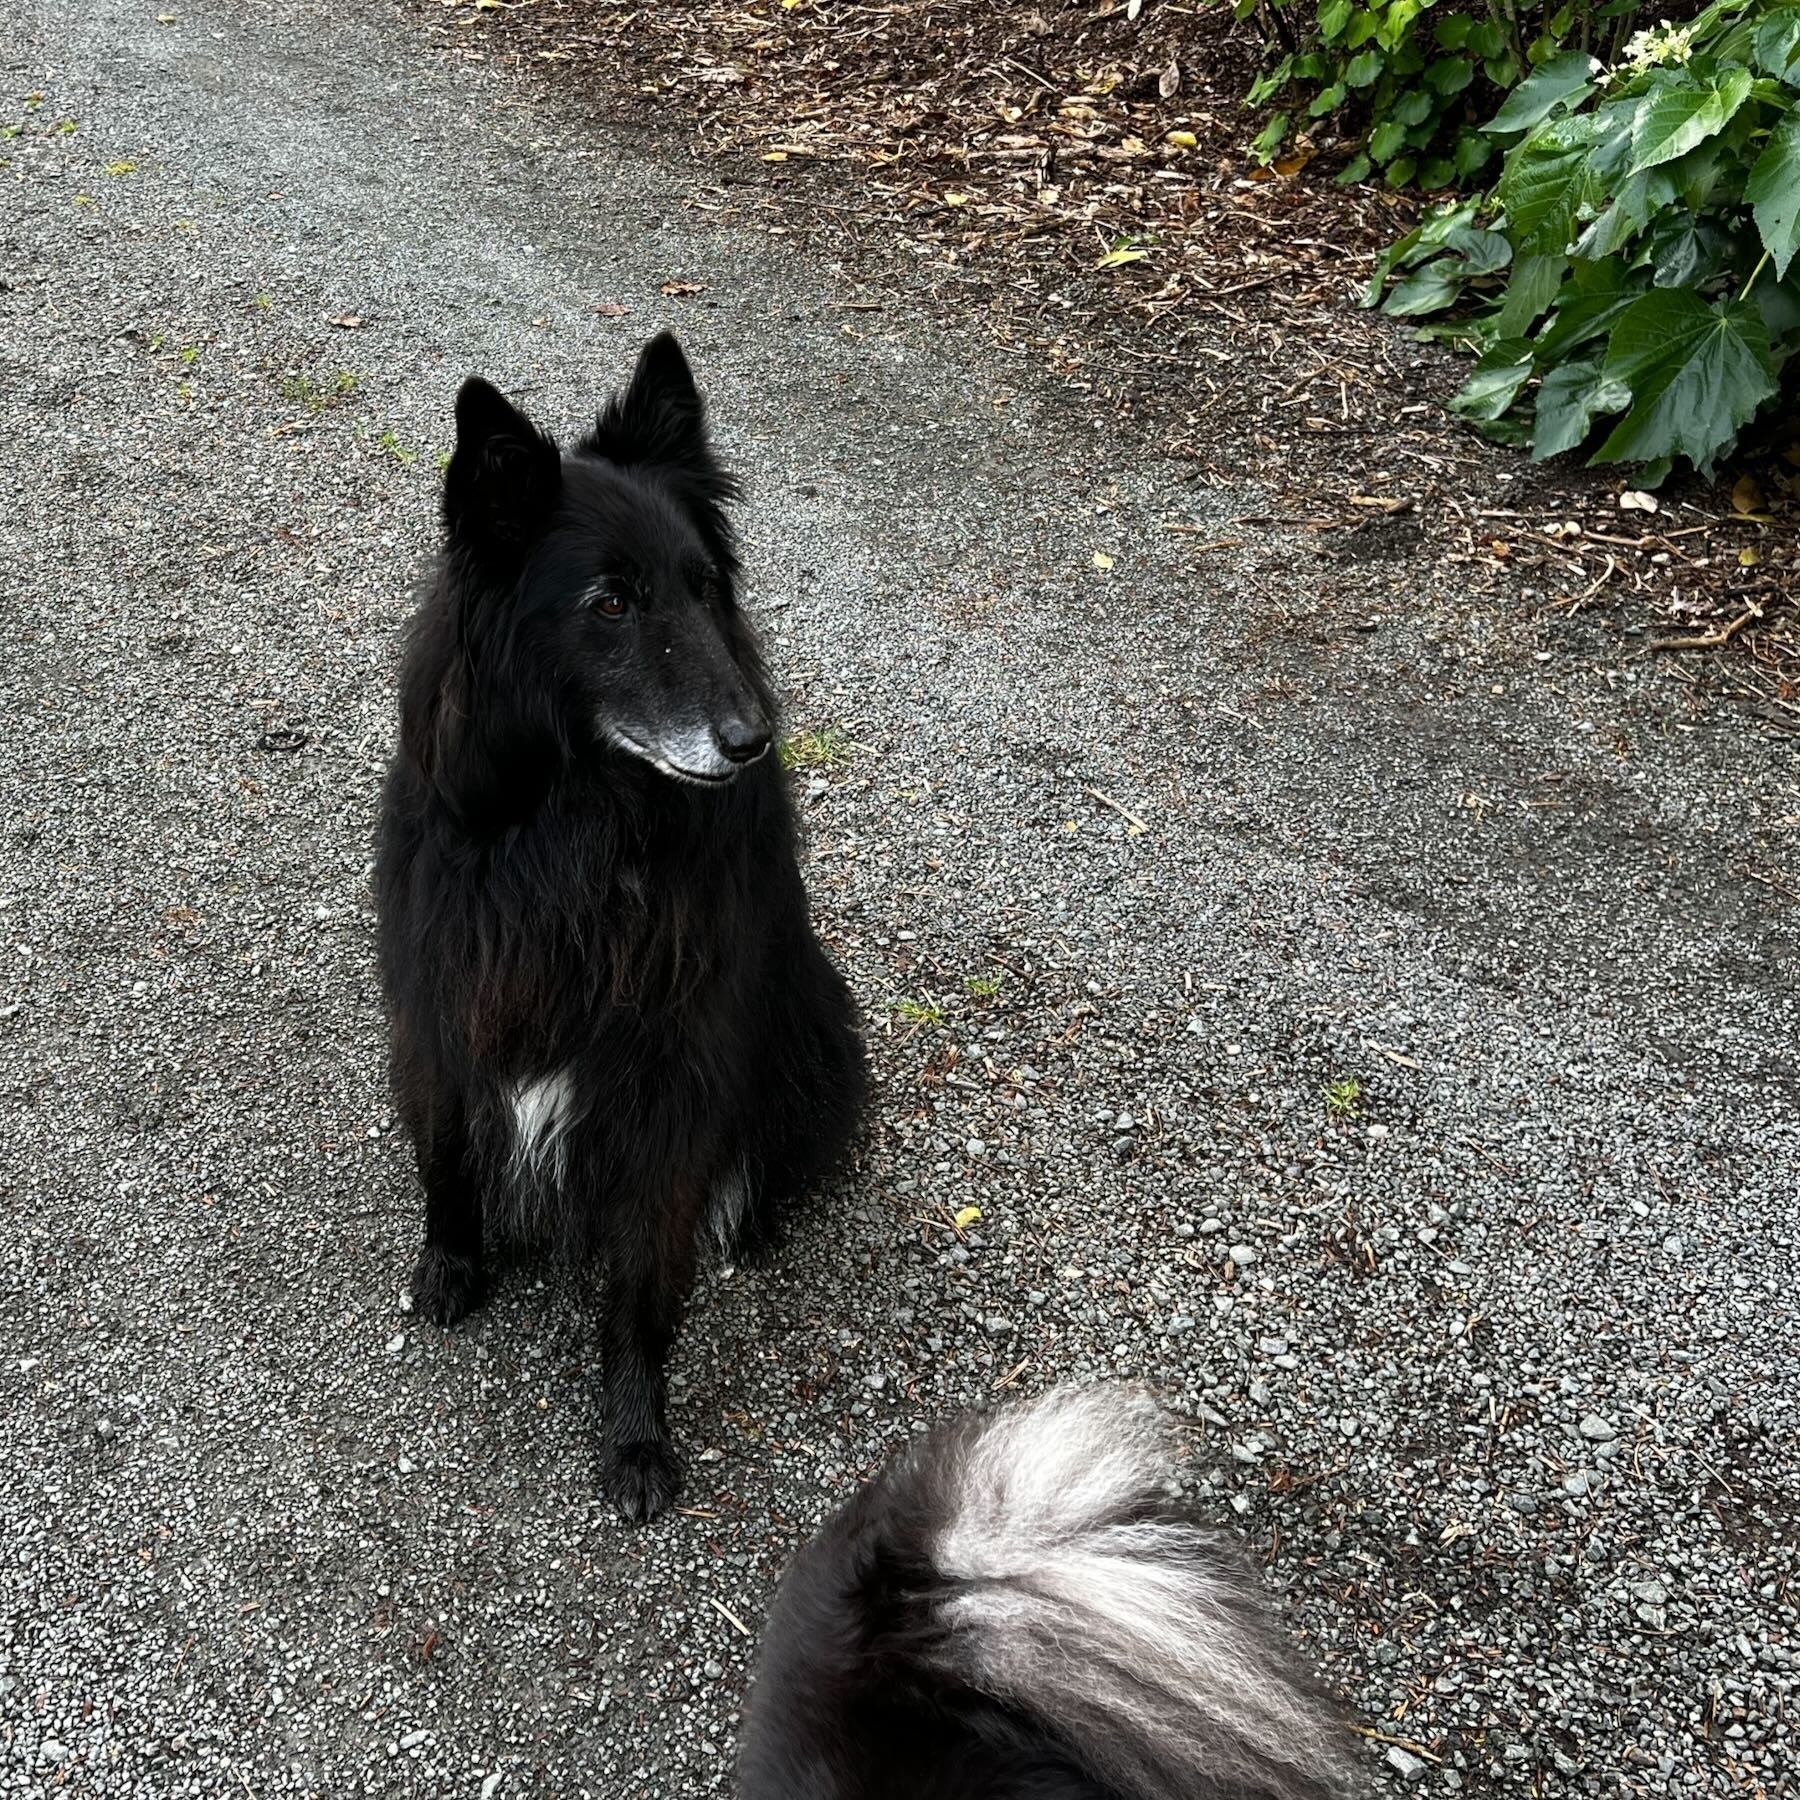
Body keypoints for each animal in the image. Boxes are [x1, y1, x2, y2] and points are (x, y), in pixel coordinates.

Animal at [372, 331, 864, 1512]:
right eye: (610, 604)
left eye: (703, 587)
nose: (754, 741)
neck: (581, 830)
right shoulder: (443, 1001)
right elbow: (448, 1153)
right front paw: (452, 1264)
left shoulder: (672, 1079)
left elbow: (644, 1277)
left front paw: (636, 1435)